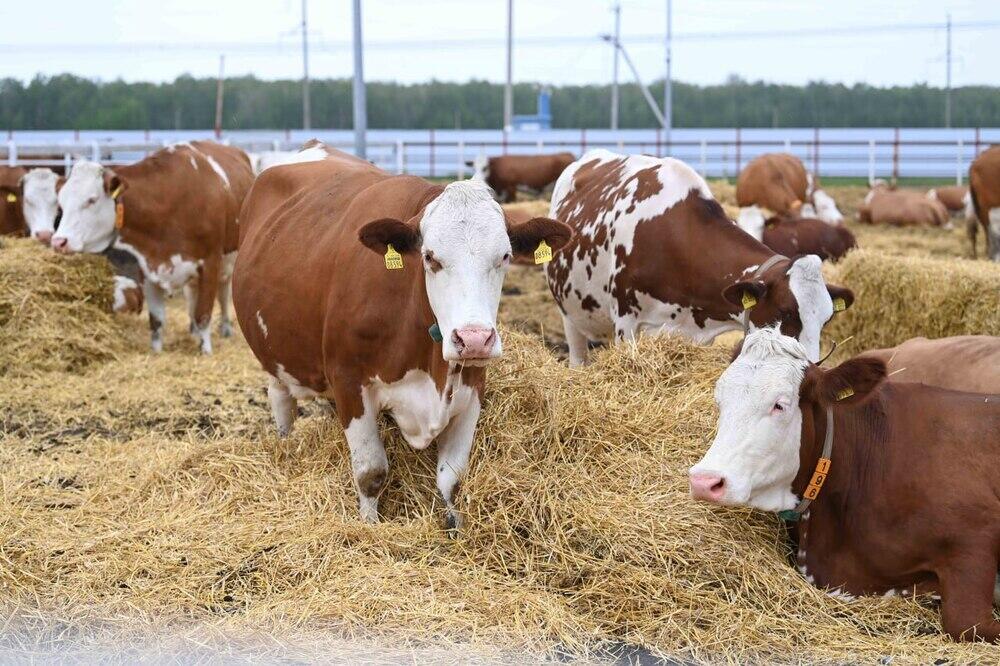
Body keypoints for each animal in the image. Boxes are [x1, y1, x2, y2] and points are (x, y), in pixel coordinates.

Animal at [51, 141, 256, 352]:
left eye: (91, 200)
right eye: (61, 203)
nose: (59, 241)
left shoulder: (210, 263)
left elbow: (204, 313)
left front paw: (205, 350)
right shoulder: (148, 265)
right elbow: (157, 320)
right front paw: (156, 351)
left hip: (228, 262)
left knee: (223, 293)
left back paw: (225, 328)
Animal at [232, 148, 572, 528]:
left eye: (505, 256)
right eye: (430, 257)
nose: (473, 339)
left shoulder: (472, 387)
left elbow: (453, 479)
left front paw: (456, 528)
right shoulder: (349, 381)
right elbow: (370, 472)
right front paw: (369, 526)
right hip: (273, 357)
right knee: (281, 401)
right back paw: (286, 442)